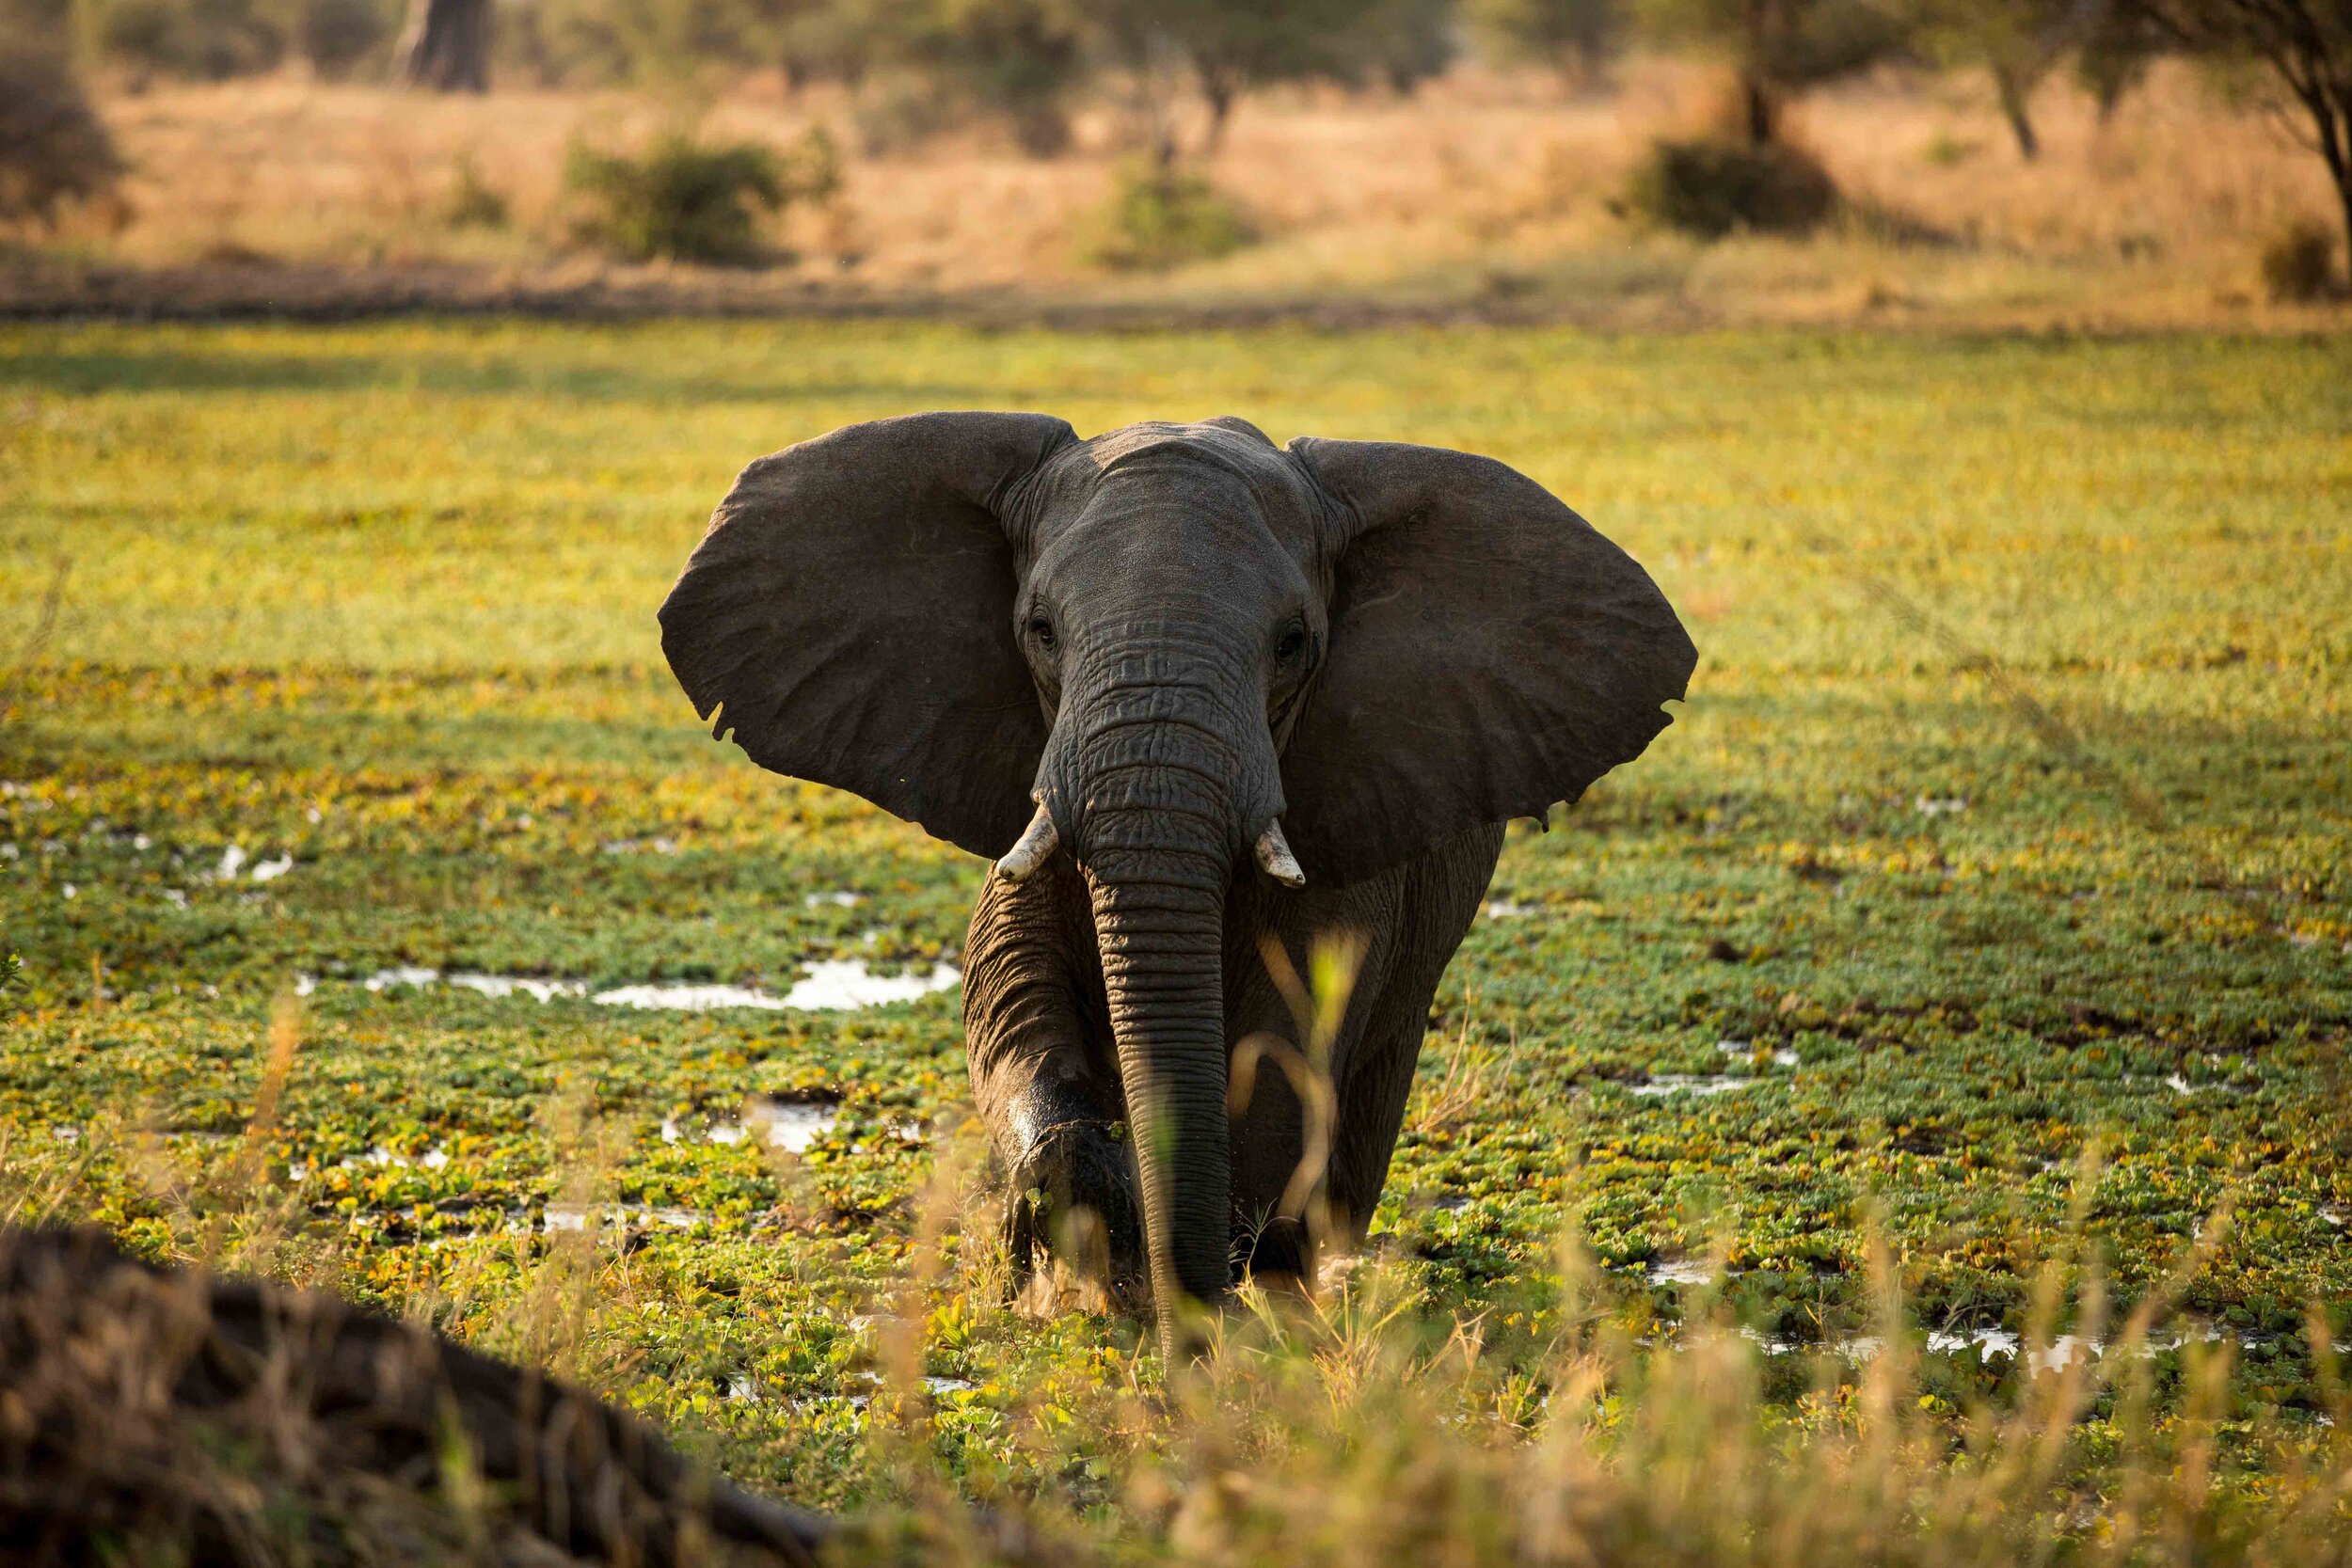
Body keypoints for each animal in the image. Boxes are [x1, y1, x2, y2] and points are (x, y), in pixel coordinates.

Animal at [659, 413, 1693, 1354]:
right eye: (1040, 631)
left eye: (1293, 642)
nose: (1183, 1333)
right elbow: (1006, 989)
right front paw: (1081, 1212)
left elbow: (1287, 1044)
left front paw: (1197, 1271)